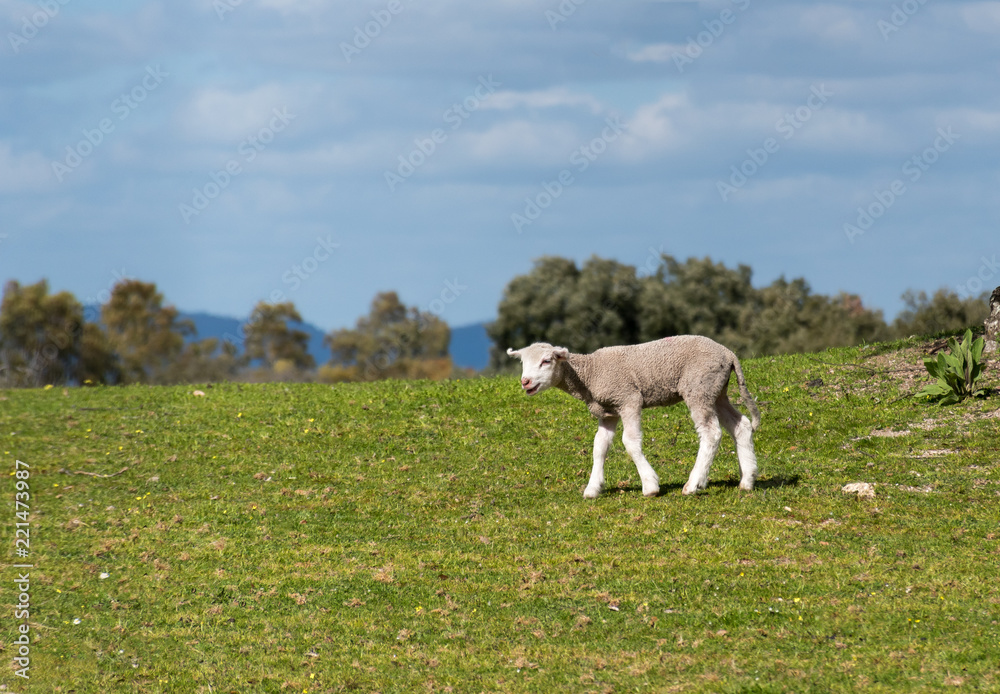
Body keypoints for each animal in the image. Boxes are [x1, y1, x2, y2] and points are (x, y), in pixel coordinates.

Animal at [506, 336, 760, 498]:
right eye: (523, 363)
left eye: (546, 361)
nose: (525, 381)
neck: (590, 374)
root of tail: (728, 353)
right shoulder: (608, 412)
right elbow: (599, 447)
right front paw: (592, 489)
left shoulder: (628, 399)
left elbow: (630, 442)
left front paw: (650, 486)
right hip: (717, 390)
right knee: (741, 426)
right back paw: (747, 480)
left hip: (699, 386)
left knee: (711, 433)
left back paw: (693, 484)